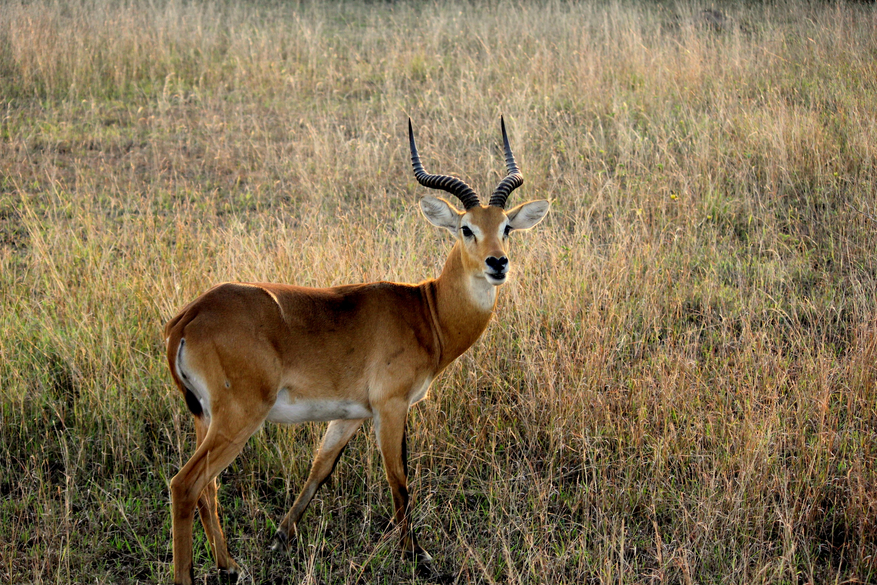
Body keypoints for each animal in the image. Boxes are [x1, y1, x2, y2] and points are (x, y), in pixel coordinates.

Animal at [163, 116, 548, 580]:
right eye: (466, 228)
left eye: (506, 227)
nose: (498, 263)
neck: (426, 310)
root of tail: (189, 317)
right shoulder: (391, 406)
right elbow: (399, 480)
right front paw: (417, 555)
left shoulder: (350, 415)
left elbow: (320, 468)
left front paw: (280, 538)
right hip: (238, 417)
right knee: (185, 485)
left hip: (205, 417)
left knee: (209, 489)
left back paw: (231, 566)